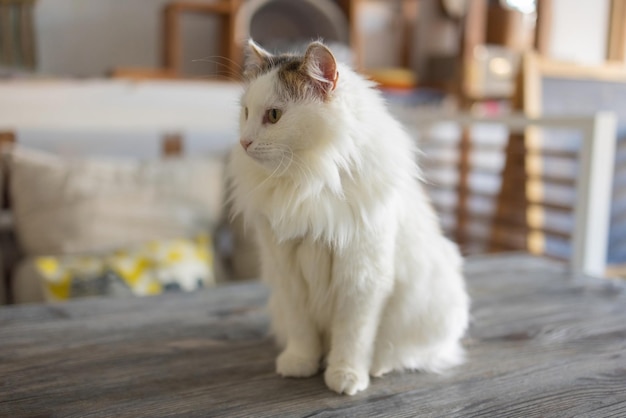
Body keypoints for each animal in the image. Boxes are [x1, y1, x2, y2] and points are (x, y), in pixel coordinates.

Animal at [229, 39, 468, 396]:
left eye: (273, 115)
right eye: (245, 112)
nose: (244, 142)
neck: (308, 183)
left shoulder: (362, 278)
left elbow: (352, 337)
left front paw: (346, 375)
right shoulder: (288, 273)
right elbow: (302, 332)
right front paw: (300, 364)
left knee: (412, 354)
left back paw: (378, 367)